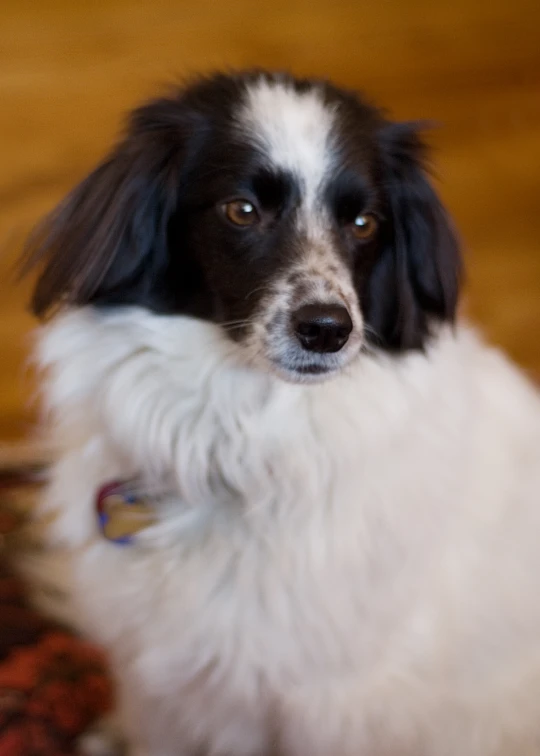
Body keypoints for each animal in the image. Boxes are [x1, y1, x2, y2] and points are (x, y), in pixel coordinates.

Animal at [24, 71, 540, 756]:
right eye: (243, 210)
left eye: (364, 222)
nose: (327, 329)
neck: (242, 442)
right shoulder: (164, 686)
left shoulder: (340, 704)